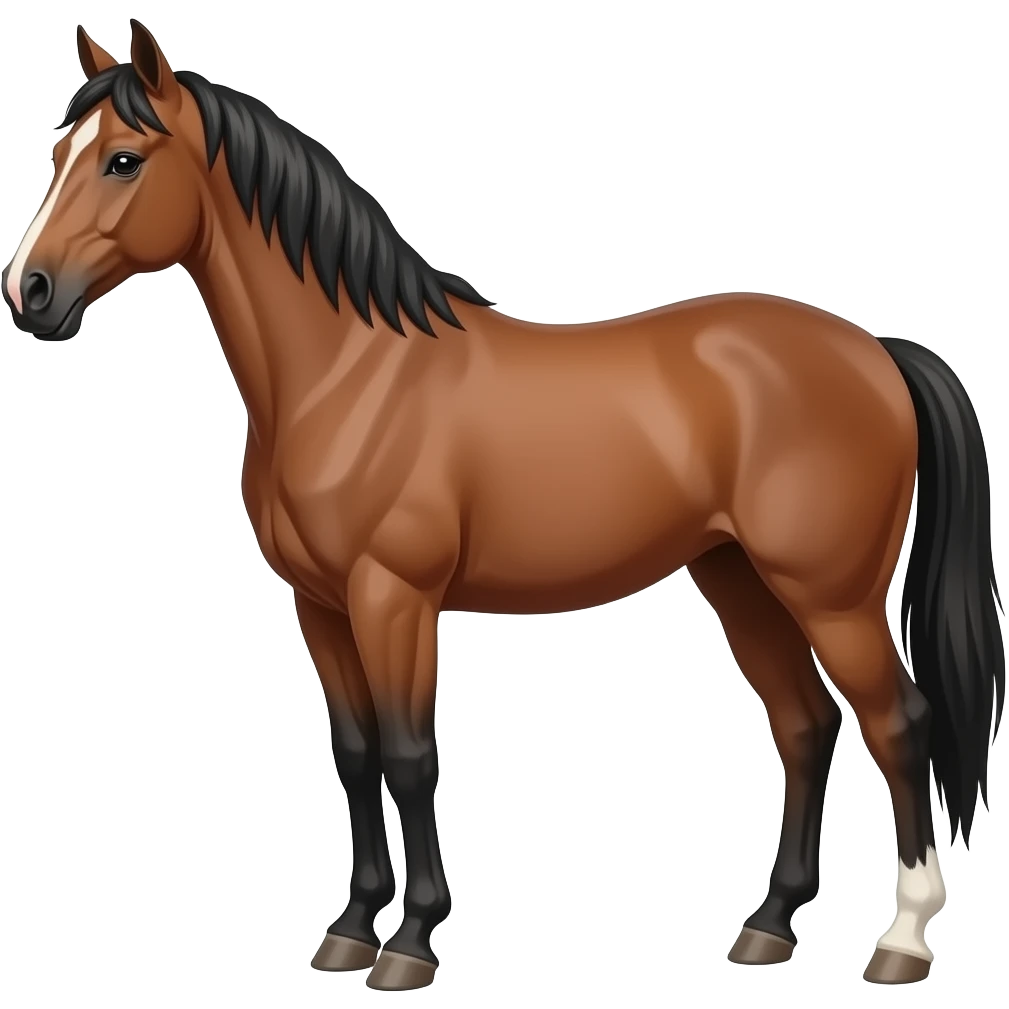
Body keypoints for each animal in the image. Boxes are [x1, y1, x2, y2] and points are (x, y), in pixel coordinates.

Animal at [4, 18, 1004, 991]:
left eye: (122, 159)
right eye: (57, 151)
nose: (30, 292)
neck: (348, 374)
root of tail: (874, 350)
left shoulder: (393, 597)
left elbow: (411, 756)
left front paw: (410, 941)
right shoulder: (320, 605)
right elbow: (356, 755)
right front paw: (348, 931)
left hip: (829, 595)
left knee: (898, 723)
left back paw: (900, 940)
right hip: (738, 578)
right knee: (804, 725)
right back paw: (767, 925)